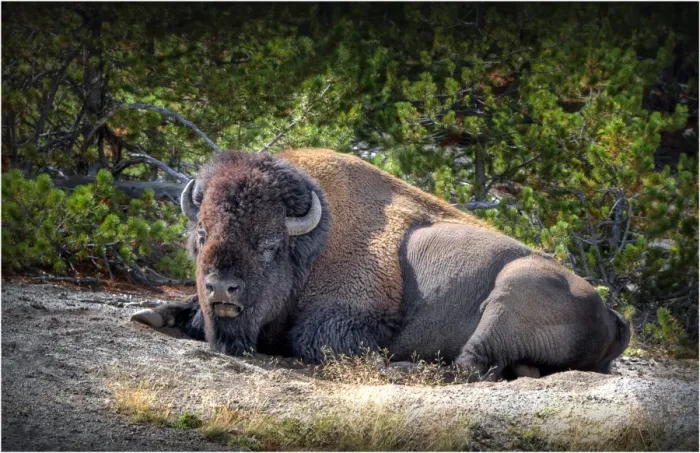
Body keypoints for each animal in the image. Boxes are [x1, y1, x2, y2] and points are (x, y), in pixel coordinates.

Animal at [132, 148, 630, 379]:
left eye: (269, 245)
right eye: (201, 235)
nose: (221, 288)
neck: (315, 243)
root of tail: (613, 315)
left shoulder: (350, 318)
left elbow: (312, 339)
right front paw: (152, 314)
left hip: (513, 291)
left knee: (471, 364)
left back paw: (404, 367)